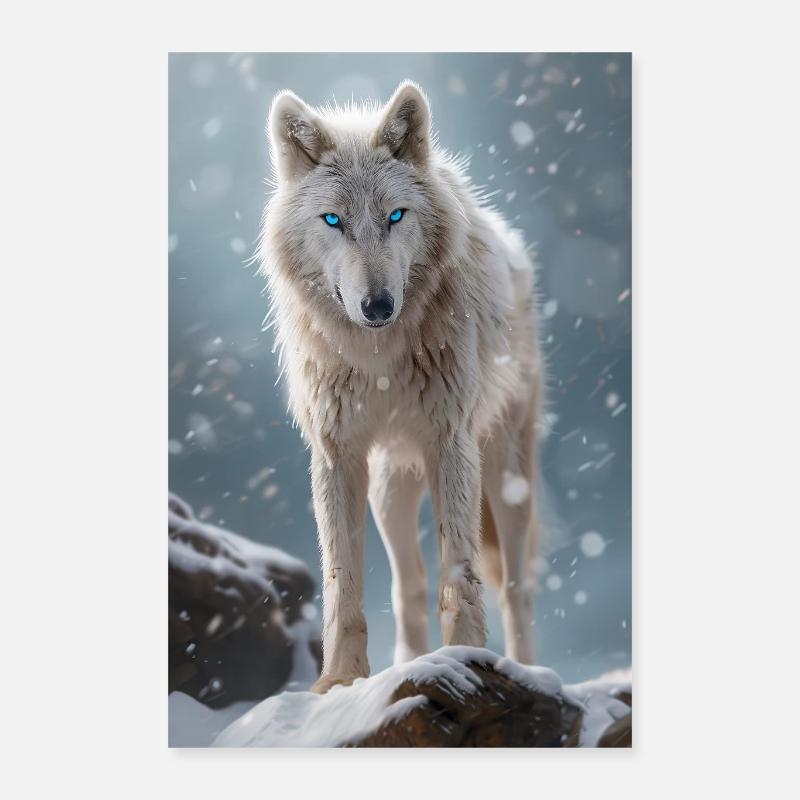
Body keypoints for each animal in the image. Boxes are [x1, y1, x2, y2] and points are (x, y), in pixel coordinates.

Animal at [260, 81, 543, 693]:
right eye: (333, 220)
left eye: (394, 215)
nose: (378, 306)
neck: (378, 360)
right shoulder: (337, 455)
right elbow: (343, 583)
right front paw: (340, 682)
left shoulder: (451, 442)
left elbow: (459, 573)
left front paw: (465, 656)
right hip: (391, 489)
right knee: (407, 585)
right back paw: (409, 665)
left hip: (507, 474)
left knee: (516, 587)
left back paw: (529, 670)